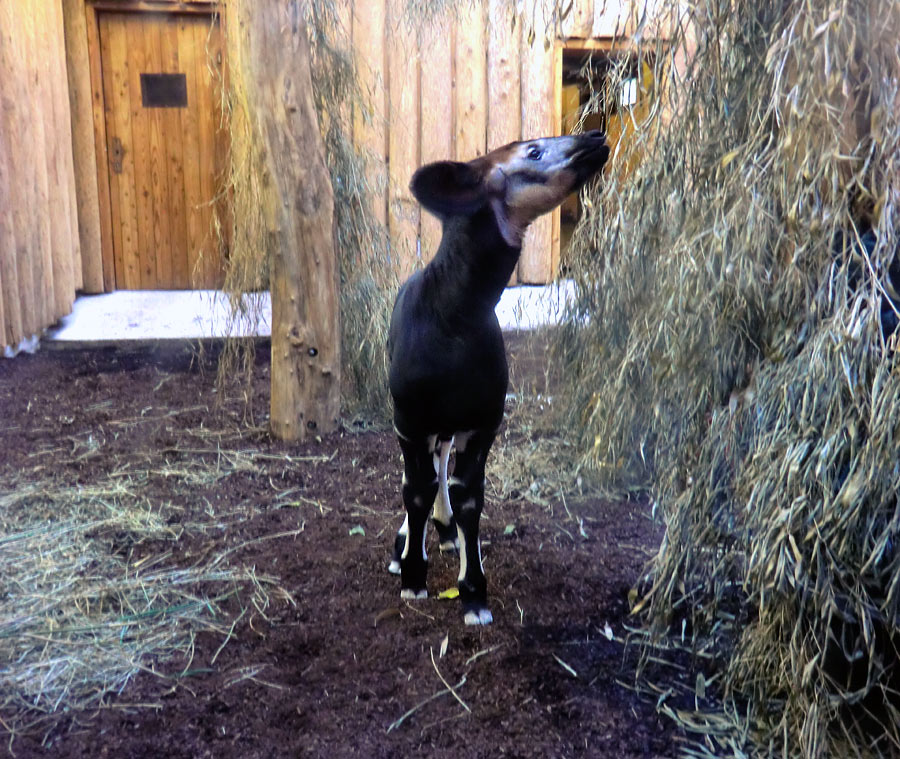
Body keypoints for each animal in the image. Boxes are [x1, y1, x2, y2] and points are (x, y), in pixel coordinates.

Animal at [386, 131, 612, 628]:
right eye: (533, 151)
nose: (595, 136)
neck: (455, 317)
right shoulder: (409, 423)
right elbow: (415, 491)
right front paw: (413, 575)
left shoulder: (483, 423)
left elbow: (468, 497)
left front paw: (473, 594)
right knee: (421, 475)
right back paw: (406, 544)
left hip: (451, 426)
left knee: (441, 466)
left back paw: (445, 532)